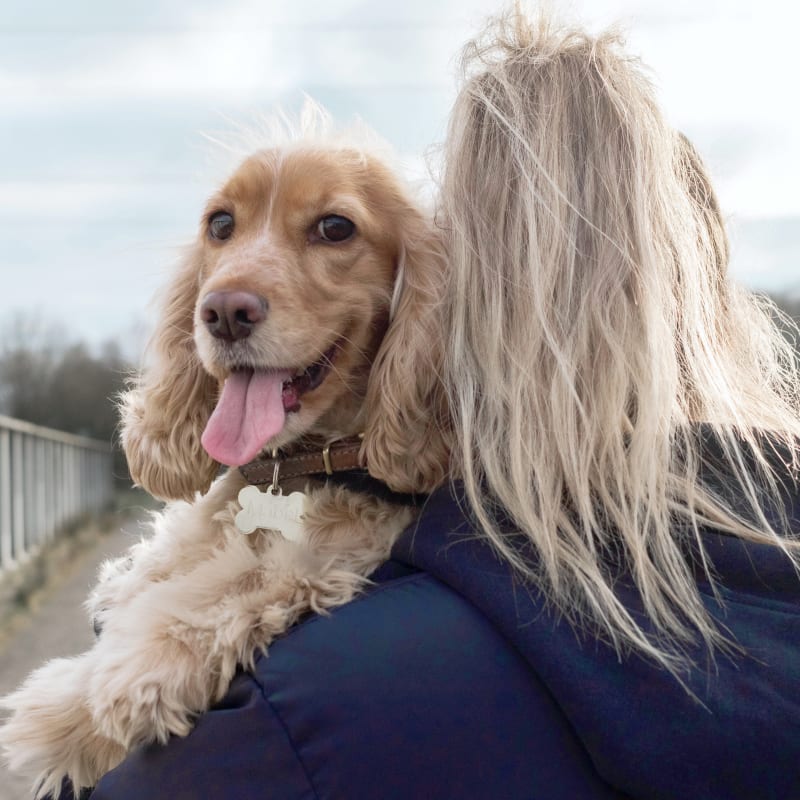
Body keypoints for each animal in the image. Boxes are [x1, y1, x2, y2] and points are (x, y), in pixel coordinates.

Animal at [0, 114, 450, 800]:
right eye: (219, 224)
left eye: (335, 227)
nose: (224, 312)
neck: (290, 467)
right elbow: (169, 561)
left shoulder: (339, 547)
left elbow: (233, 583)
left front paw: (83, 705)